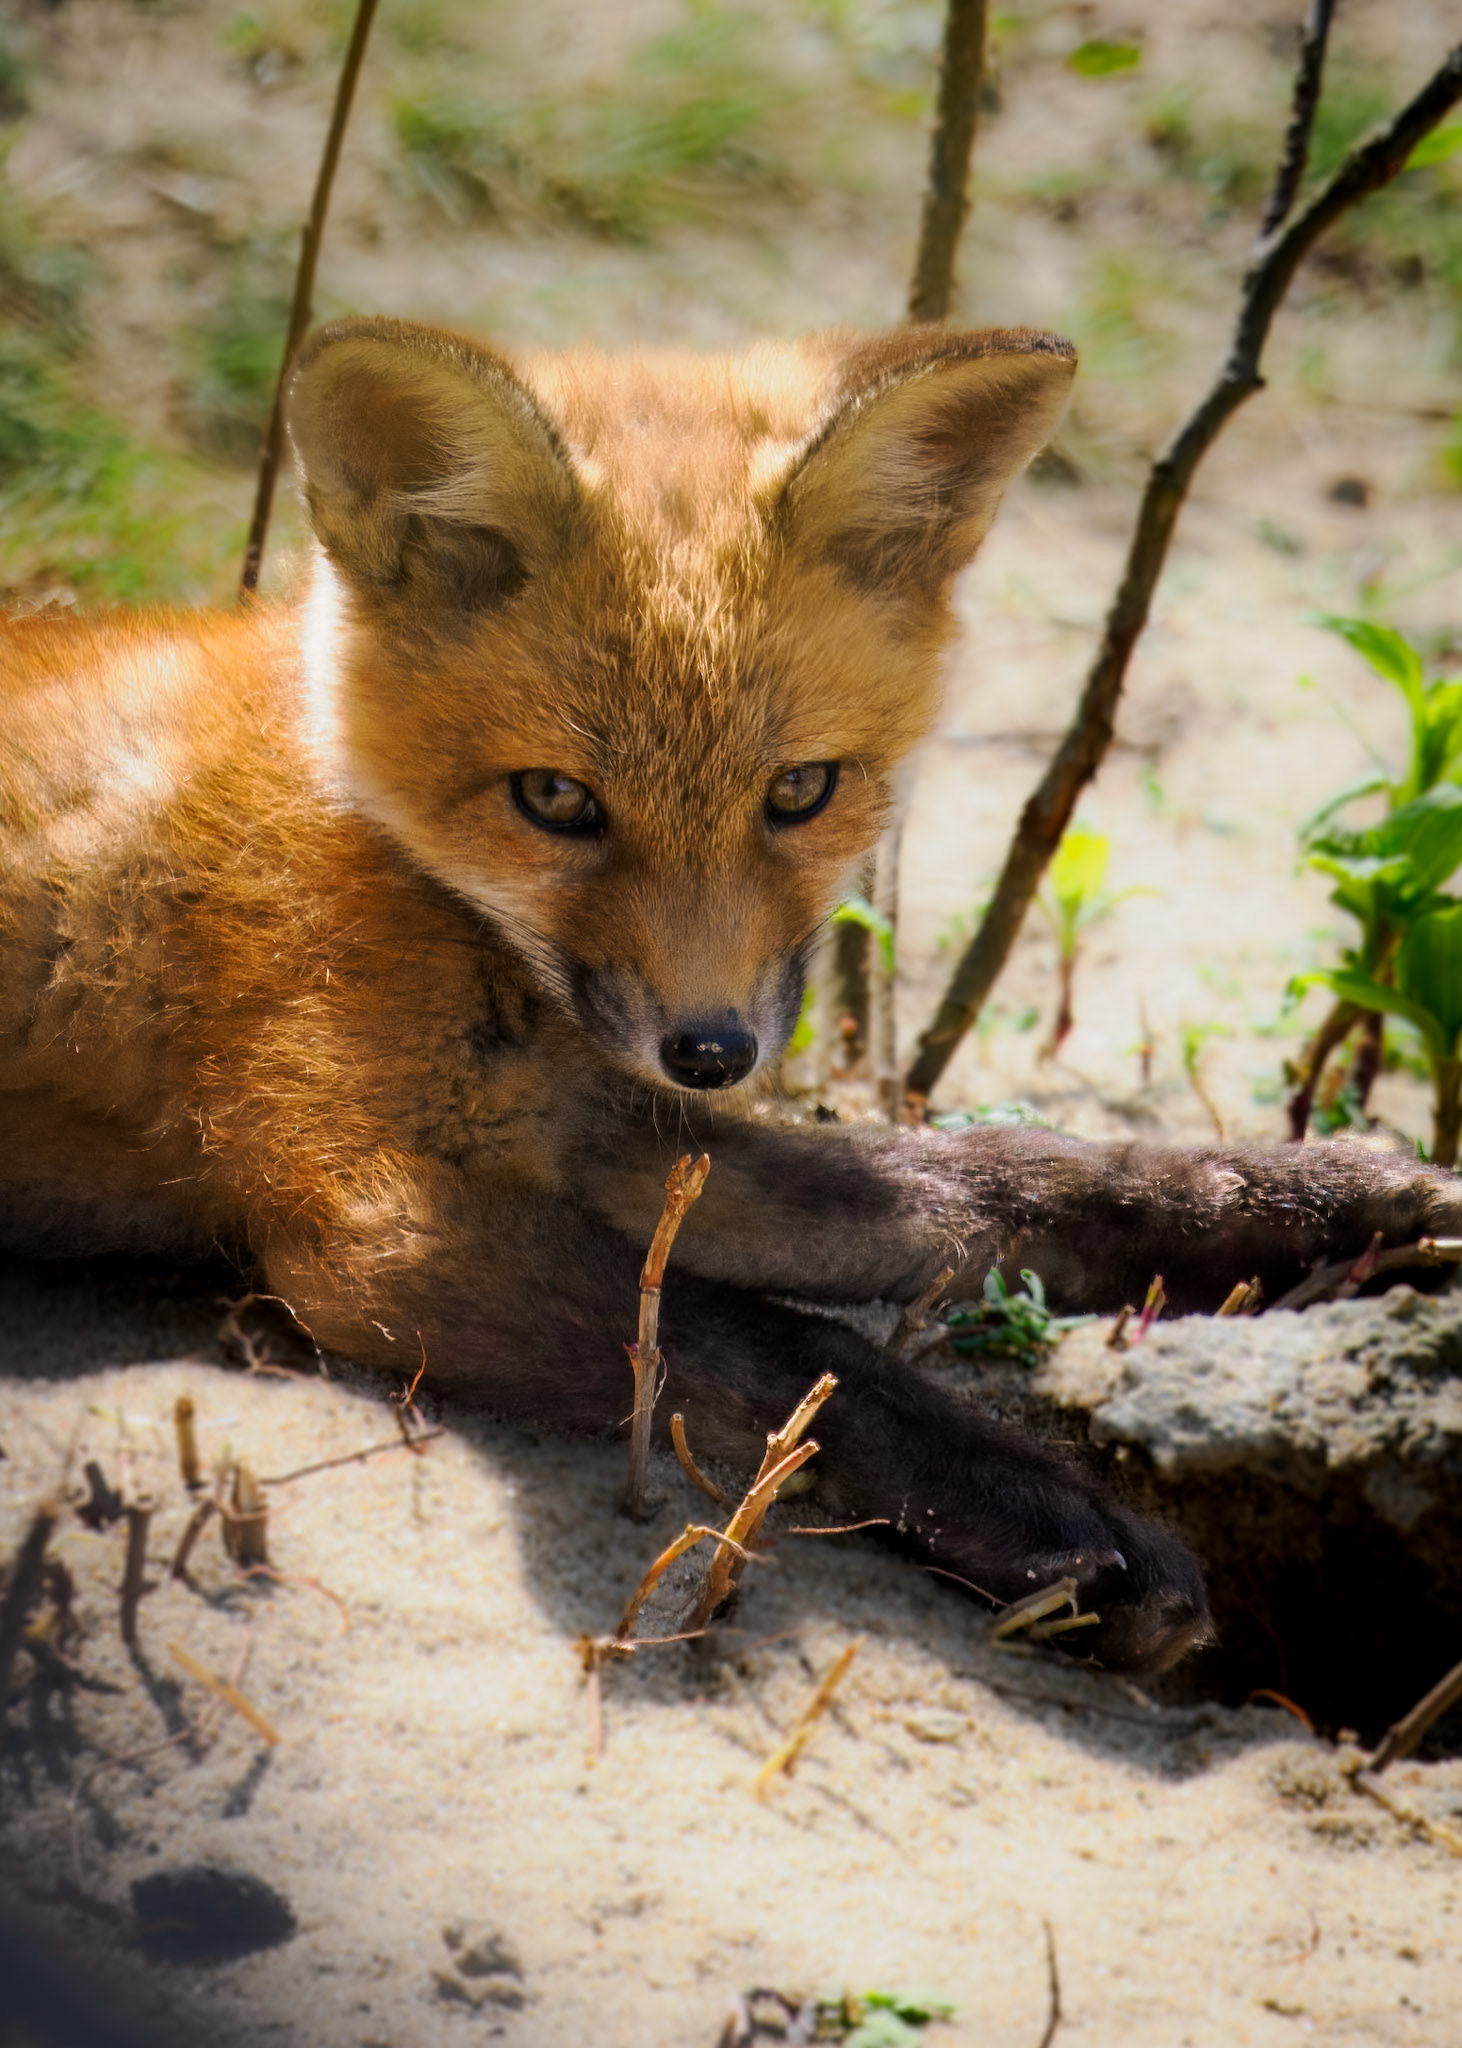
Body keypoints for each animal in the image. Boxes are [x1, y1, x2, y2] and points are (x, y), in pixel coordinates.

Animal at [4, 314, 1460, 1674]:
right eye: (554, 800)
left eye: (800, 791)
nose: (710, 1049)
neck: (363, 827)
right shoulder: (378, 1224)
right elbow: (774, 1345)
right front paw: (1050, 1516)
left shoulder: (595, 1120)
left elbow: (993, 1180)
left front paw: (1308, 1197)